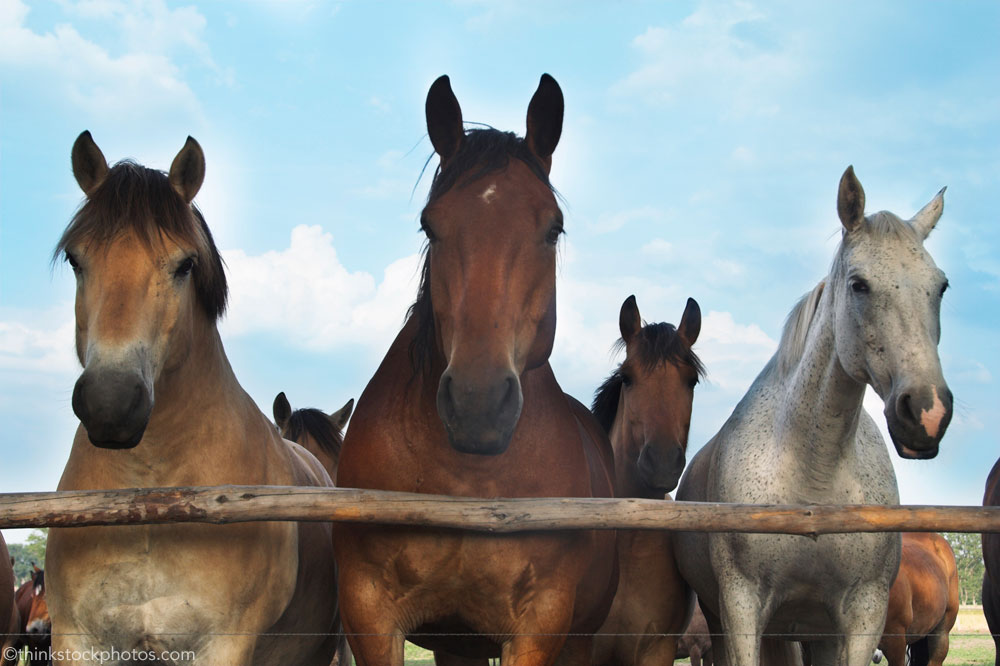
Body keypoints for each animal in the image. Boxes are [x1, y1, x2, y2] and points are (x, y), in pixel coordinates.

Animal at [45, 132, 341, 665]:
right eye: (77, 260)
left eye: (184, 265)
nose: (110, 402)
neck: (152, 499)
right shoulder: (77, 640)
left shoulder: (224, 644)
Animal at [332, 74, 618, 666]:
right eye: (430, 227)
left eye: (554, 229)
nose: (477, 404)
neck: (471, 482)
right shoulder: (369, 612)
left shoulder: (540, 623)